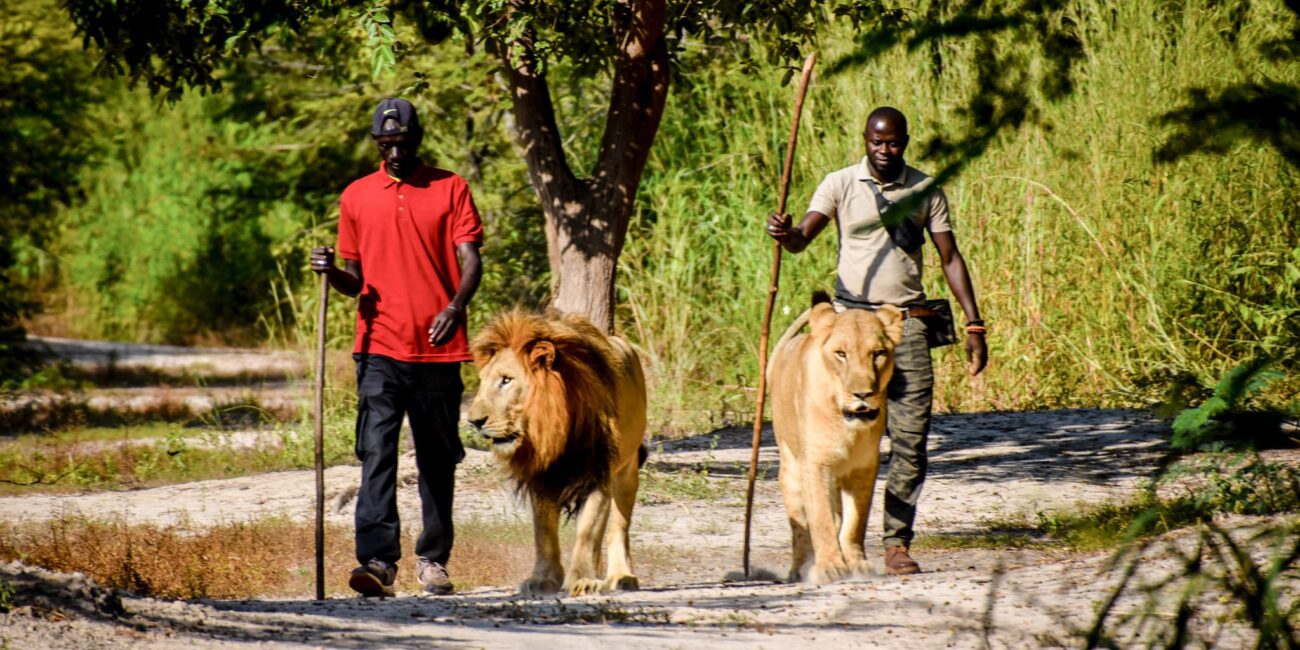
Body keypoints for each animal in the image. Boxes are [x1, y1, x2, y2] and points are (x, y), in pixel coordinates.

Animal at [467, 309, 650, 595]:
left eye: (506, 380)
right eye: (483, 381)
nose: (473, 421)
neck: (554, 429)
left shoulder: (598, 473)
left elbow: (588, 531)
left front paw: (582, 580)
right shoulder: (541, 476)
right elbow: (544, 533)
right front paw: (543, 580)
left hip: (627, 469)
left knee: (619, 527)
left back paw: (621, 576)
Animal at [764, 293, 899, 585]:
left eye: (878, 354)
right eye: (841, 354)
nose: (863, 394)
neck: (847, 424)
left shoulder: (864, 467)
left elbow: (855, 522)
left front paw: (857, 564)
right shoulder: (815, 464)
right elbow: (821, 520)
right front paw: (830, 568)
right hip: (791, 467)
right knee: (800, 528)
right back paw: (799, 570)